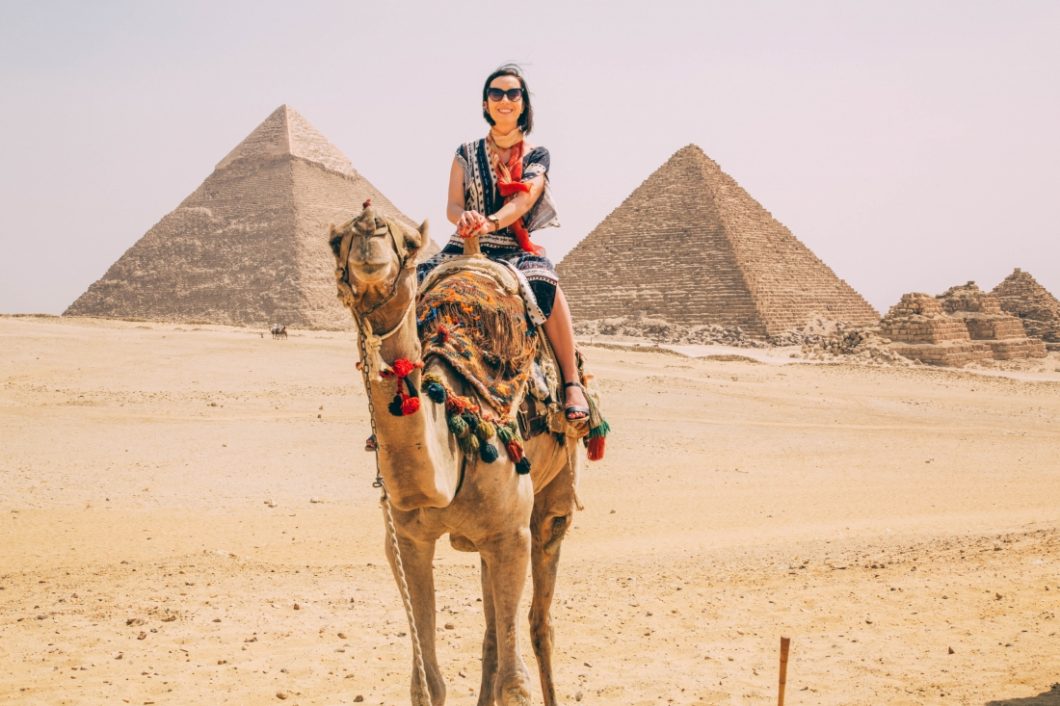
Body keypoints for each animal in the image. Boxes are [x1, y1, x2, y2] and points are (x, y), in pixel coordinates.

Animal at [328, 200, 580, 699]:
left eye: (409, 241)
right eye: (335, 240)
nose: (369, 227)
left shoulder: (511, 535)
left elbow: (515, 683)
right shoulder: (405, 540)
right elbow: (426, 681)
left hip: (554, 498)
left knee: (539, 624)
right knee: (491, 634)